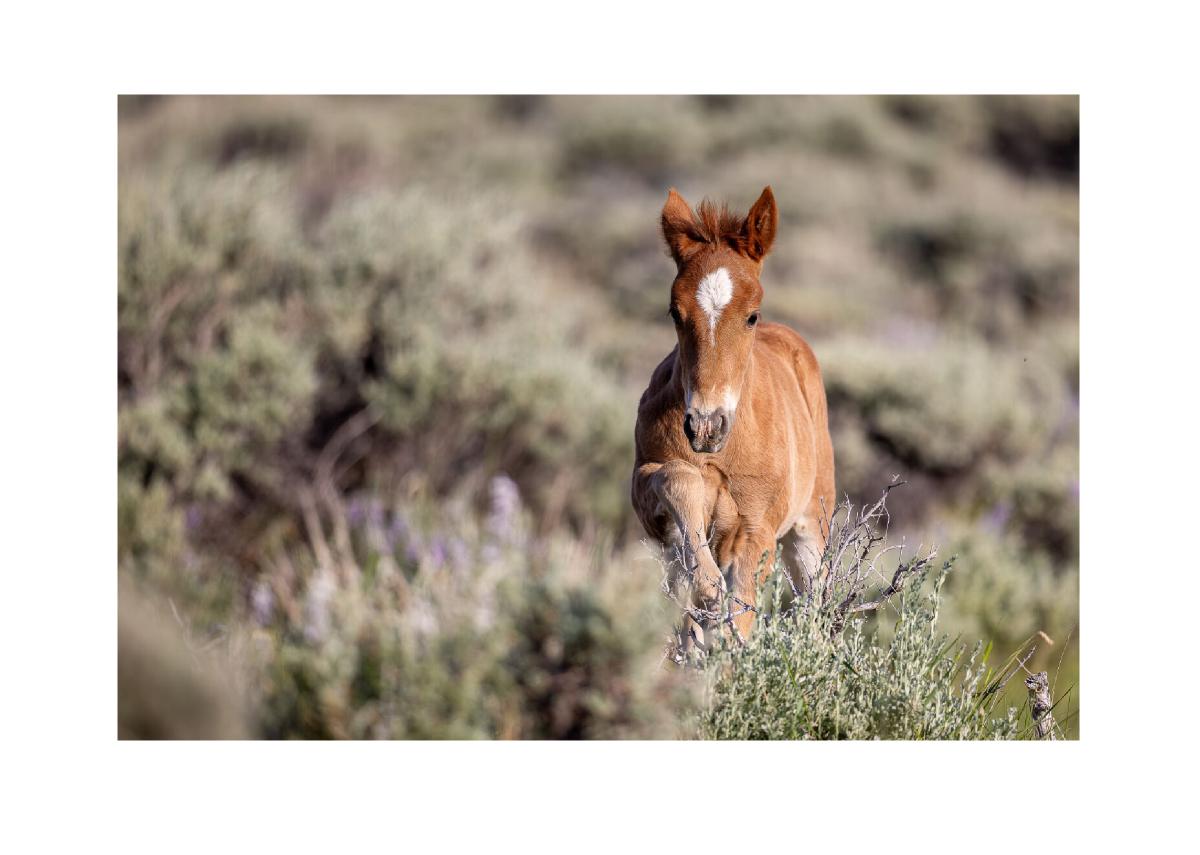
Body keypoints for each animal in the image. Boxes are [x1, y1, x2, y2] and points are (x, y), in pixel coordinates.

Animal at [631, 186, 835, 645]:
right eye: (675, 312)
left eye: (751, 315)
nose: (706, 426)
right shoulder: (646, 497)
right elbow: (677, 478)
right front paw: (707, 591)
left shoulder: (756, 533)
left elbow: (739, 618)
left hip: (810, 530)